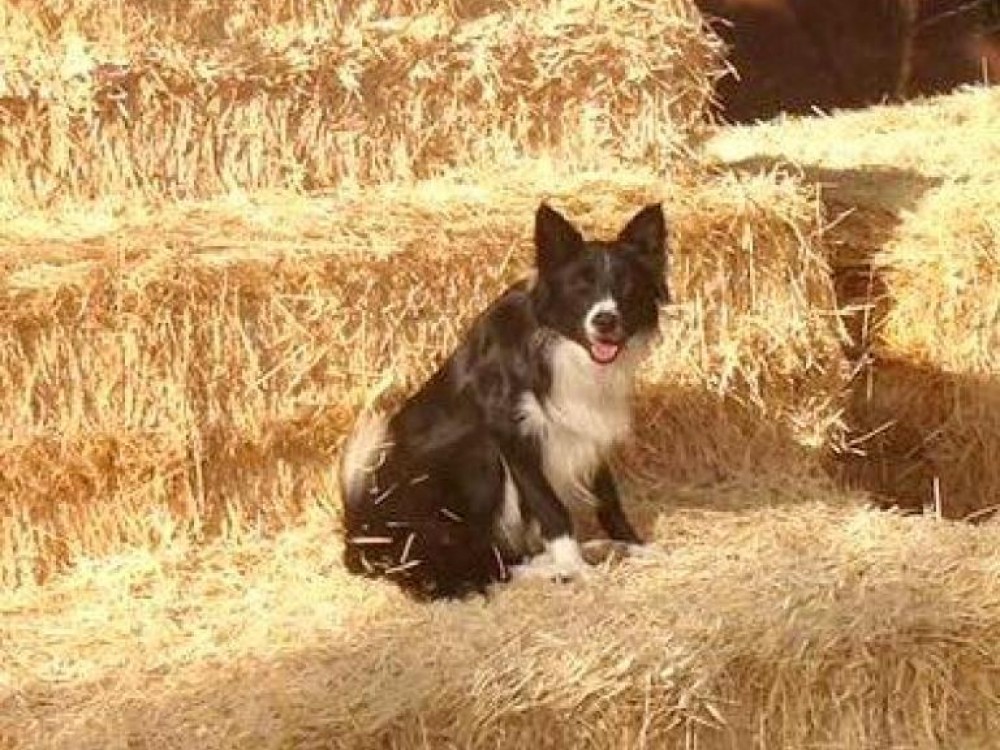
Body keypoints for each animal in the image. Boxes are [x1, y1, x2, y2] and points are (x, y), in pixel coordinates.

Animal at [339, 202, 669, 599]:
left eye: (627, 287)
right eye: (580, 286)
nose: (605, 320)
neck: (560, 348)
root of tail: (359, 536)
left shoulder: (587, 425)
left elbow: (609, 497)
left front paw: (633, 544)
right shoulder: (511, 432)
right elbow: (552, 507)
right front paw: (574, 566)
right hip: (477, 453)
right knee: (473, 568)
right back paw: (555, 569)